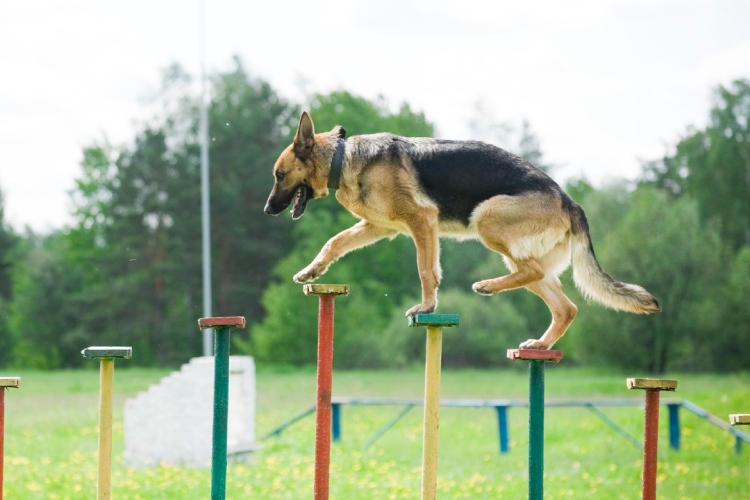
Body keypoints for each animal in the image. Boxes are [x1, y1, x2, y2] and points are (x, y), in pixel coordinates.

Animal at [262, 112, 656, 350]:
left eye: (279, 175)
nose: (267, 210)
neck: (342, 158)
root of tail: (569, 200)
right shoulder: (379, 227)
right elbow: (334, 242)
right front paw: (311, 271)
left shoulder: (421, 222)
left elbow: (425, 269)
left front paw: (427, 306)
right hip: (522, 254)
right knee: (565, 306)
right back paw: (541, 344)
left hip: (487, 221)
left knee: (533, 272)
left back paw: (487, 286)